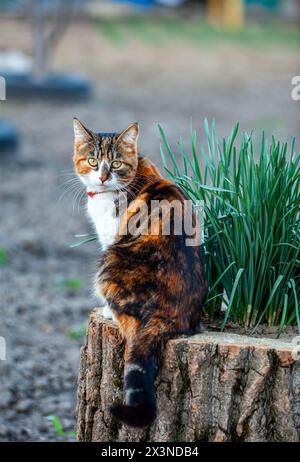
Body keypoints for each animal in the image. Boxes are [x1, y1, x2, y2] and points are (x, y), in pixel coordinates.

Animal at [73, 117, 209, 428]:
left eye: (116, 163)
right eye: (93, 160)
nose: (103, 177)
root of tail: (169, 315)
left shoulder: (110, 235)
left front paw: (105, 310)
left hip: (109, 260)